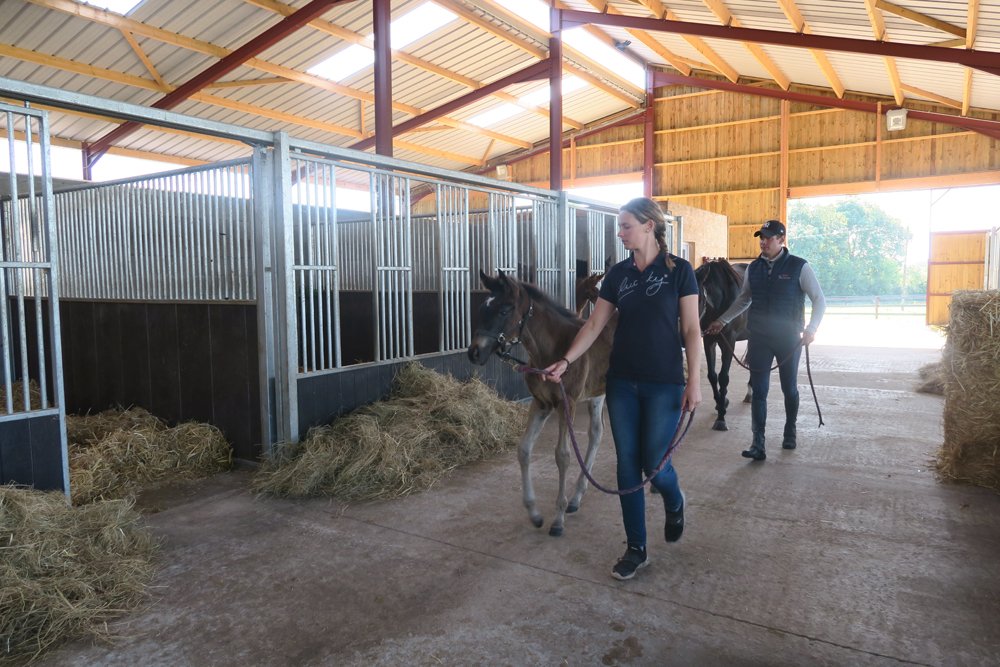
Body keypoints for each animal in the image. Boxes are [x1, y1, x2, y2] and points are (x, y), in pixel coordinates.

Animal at [467, 271, 614, 537]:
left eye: (505, 309)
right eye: (483, 308)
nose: (474, 353)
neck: (553, 352)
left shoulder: (568, 404)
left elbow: (563, 455)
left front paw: (558, 520)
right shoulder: (541, 404)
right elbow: (524, 450)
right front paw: (534, 513)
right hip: (598, 392)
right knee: (597, 433)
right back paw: (577, 497)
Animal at [695, 259, 751, 431]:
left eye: (698, 298)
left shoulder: (729, 342)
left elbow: (723, 377)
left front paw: (721, 418)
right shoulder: (709, 340)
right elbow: (712, 376)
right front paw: (721, 403)